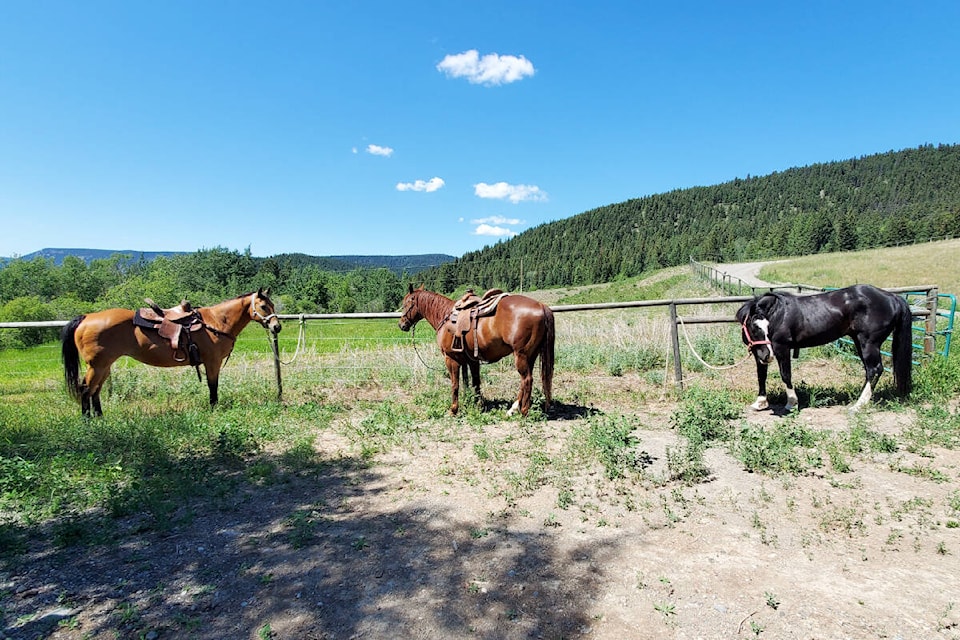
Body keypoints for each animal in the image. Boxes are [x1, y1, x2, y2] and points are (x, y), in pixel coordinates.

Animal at [61, 288, 282, 418]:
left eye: (272, 305)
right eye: (264, 306)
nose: (277, 326)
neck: (217, 321)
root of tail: (86, 317)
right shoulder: (212, 362)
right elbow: (213, 386)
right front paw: (213, 408)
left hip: (104, 366)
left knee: (95, 390)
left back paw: (99, 417)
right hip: (97, 366)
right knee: (85, 389)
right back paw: (87, 420)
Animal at [398, 284, 556, 416]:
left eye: (406, 304)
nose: (401, 325)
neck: (445, 316)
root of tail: (542, 306)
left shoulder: (451, 359)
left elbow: (455, 385)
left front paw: (453, 409)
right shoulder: (472, 360)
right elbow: (475, 383)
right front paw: (478, 405)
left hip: (521, 355)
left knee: (527, 380)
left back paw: (523, 411)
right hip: (531, 355)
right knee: (525, 381)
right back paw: (513, 409)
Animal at [736, 284, 916, 412]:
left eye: (766, 327)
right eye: (754, 327)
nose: (768, 356)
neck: (779, 314)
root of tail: (892, 297)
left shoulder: (782, 348)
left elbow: (785, 375)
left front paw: (792, 404)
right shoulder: (758, 352)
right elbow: (761, 376)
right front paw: (760, 402)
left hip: (869, 343)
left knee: (875, 369)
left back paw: (858, 405)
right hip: (859, 342)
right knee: (870, 370)